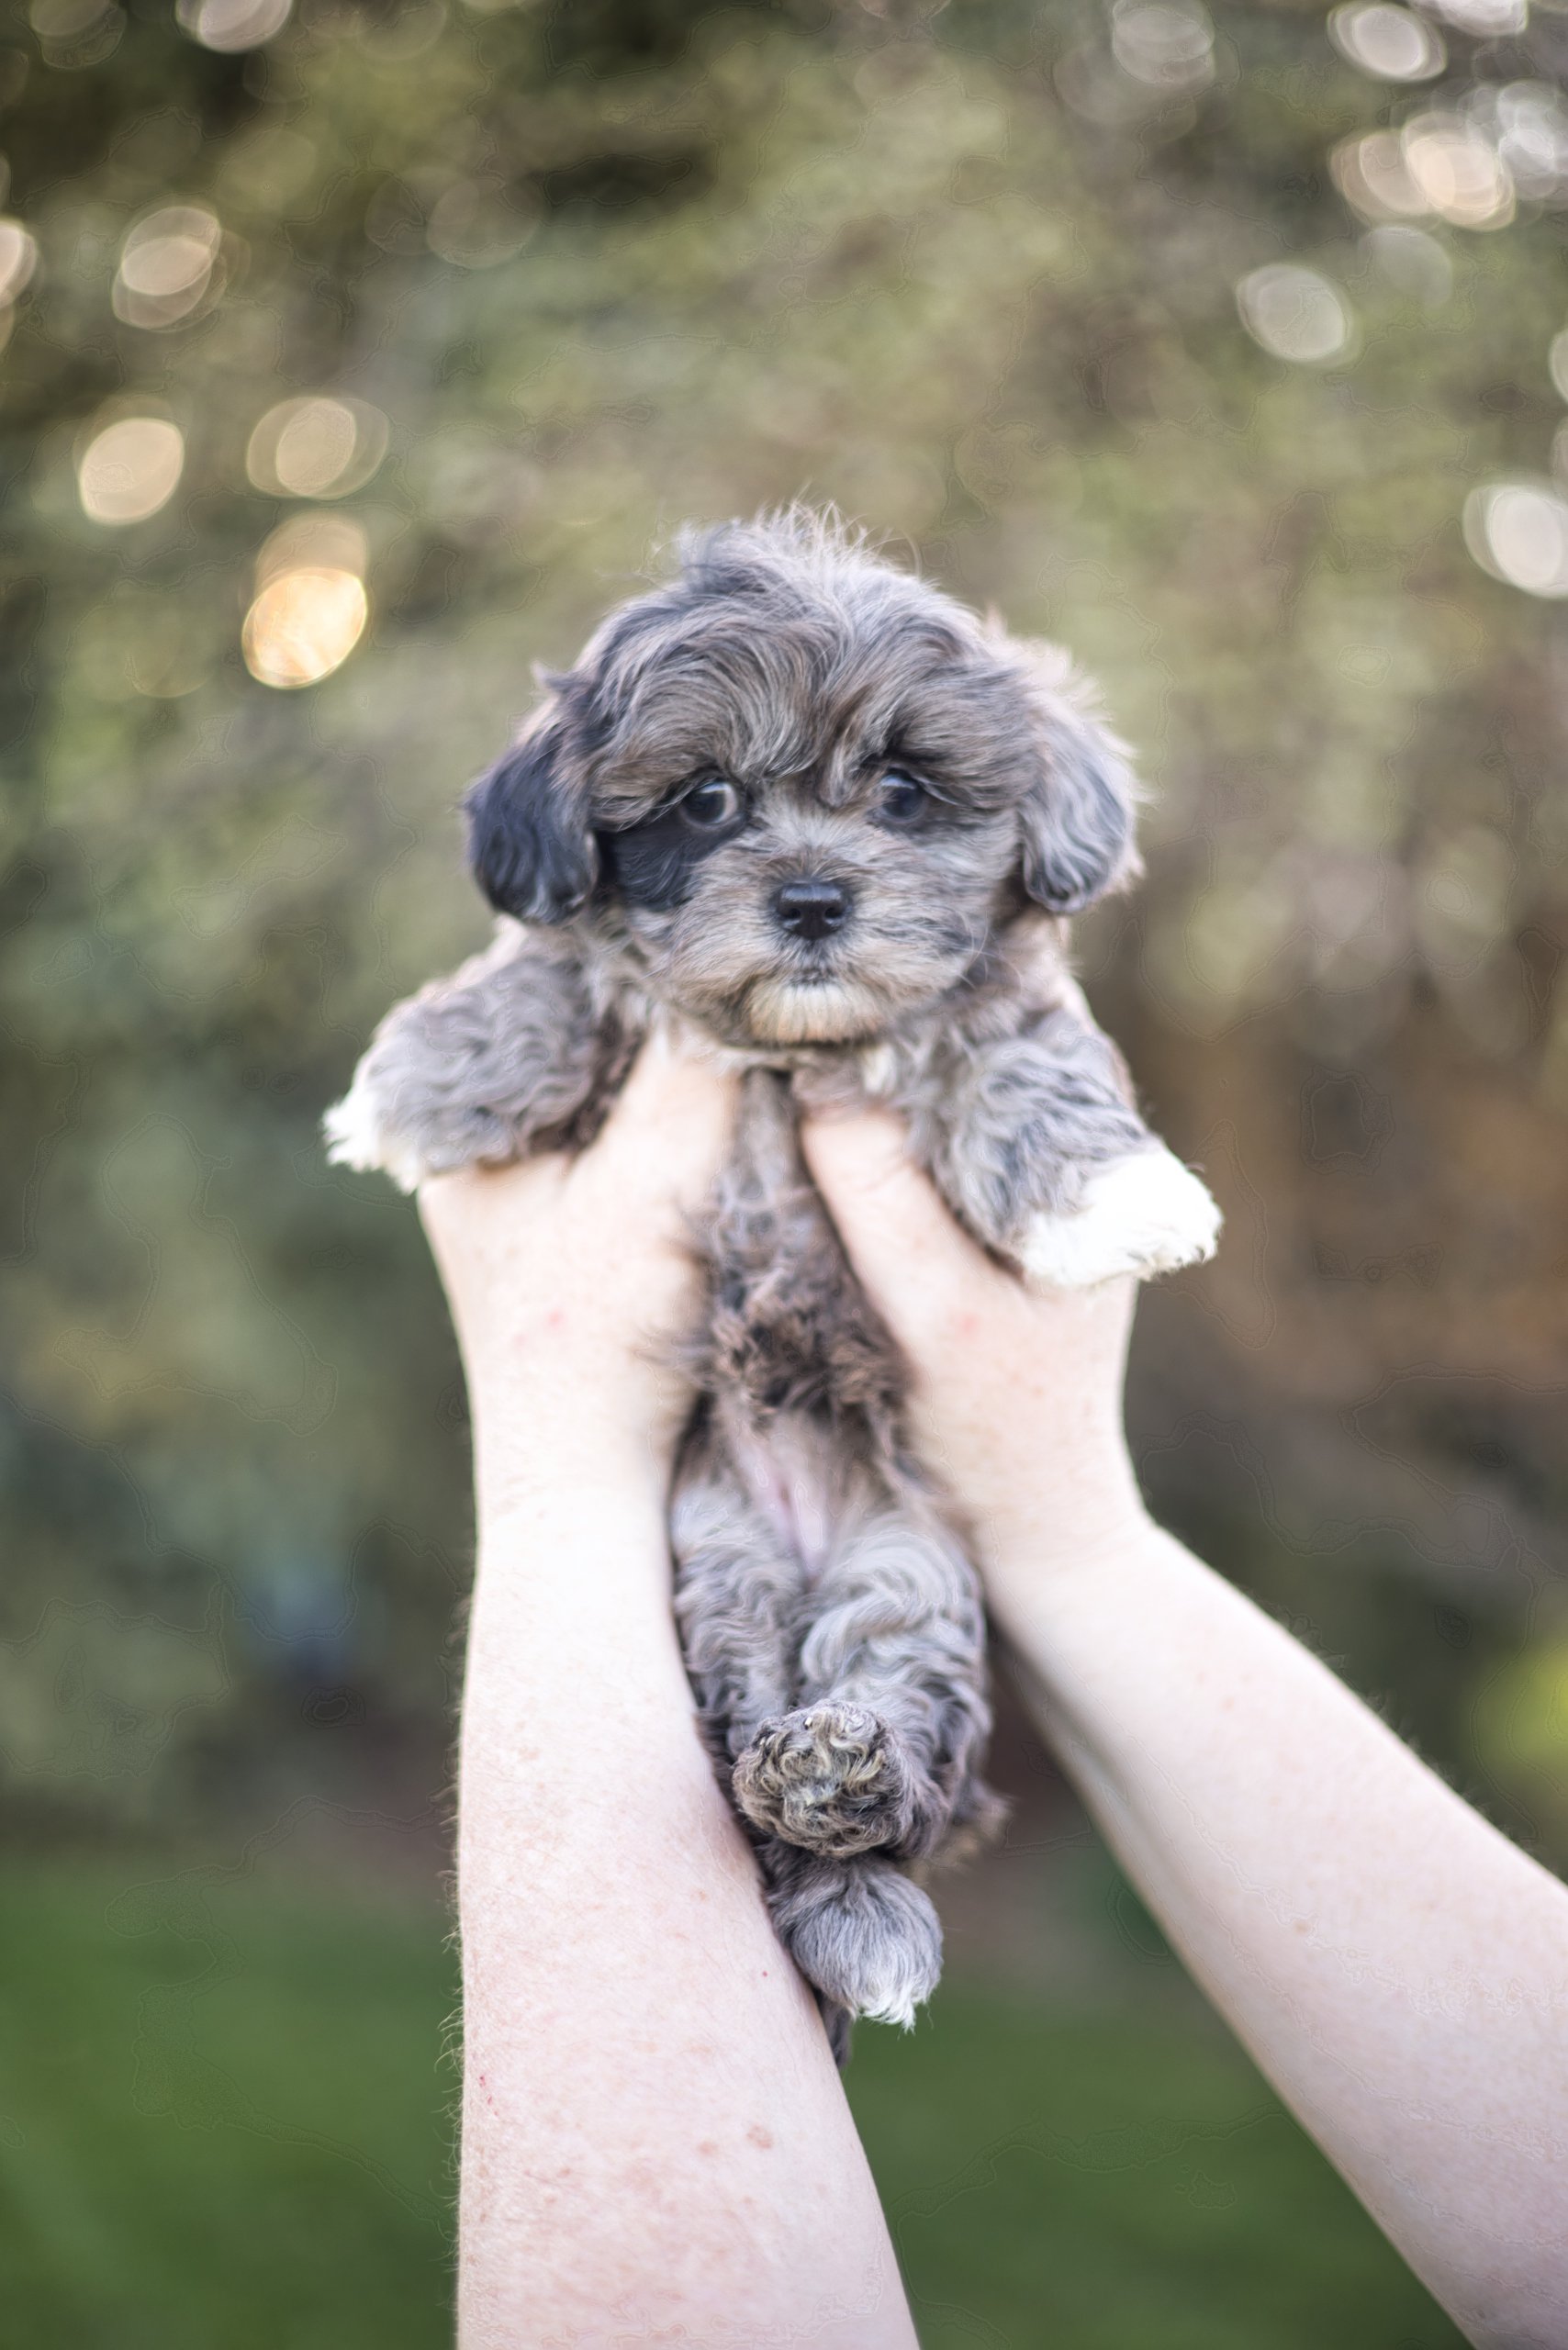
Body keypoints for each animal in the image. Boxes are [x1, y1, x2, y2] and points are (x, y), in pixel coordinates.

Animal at [324, 509, 1222, 2058]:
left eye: (906, 791)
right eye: (703, 801)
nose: (811, 898)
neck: (793, 1056)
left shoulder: (1004, 1002)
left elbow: (1017, 1048)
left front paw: (1113, 1191)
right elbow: (566, 967)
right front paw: (432, 1074)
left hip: (913, 1588)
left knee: (902, 1737)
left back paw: (852, 1820)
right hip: (716, 1587)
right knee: (746, 1751)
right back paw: (819, 1815)